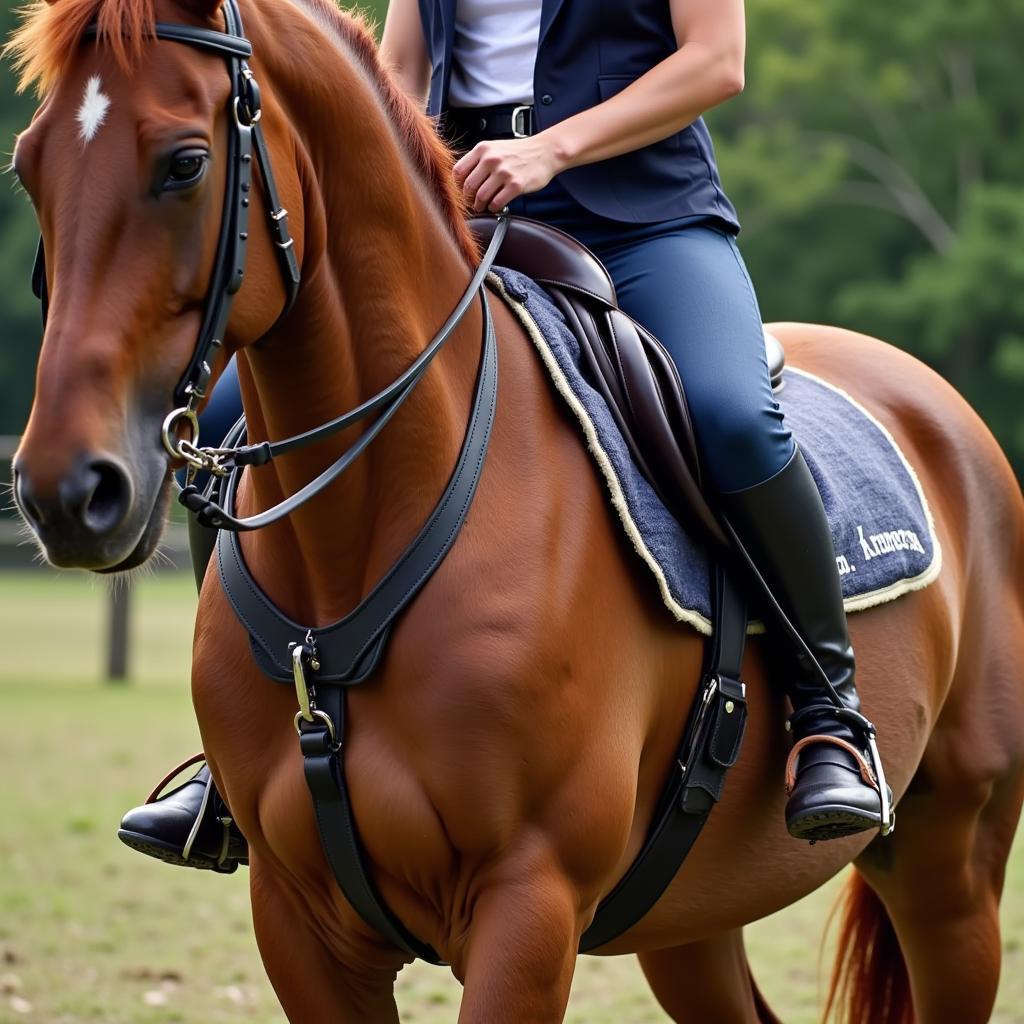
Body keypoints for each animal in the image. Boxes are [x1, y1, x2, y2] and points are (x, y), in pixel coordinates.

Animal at [8, 2, 1024, 1024]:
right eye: (28, 166)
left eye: (185, 163)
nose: (67, 492)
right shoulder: (298, 920)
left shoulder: (527, 905)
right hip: (691, 919)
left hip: (951, 867)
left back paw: (834, 759)